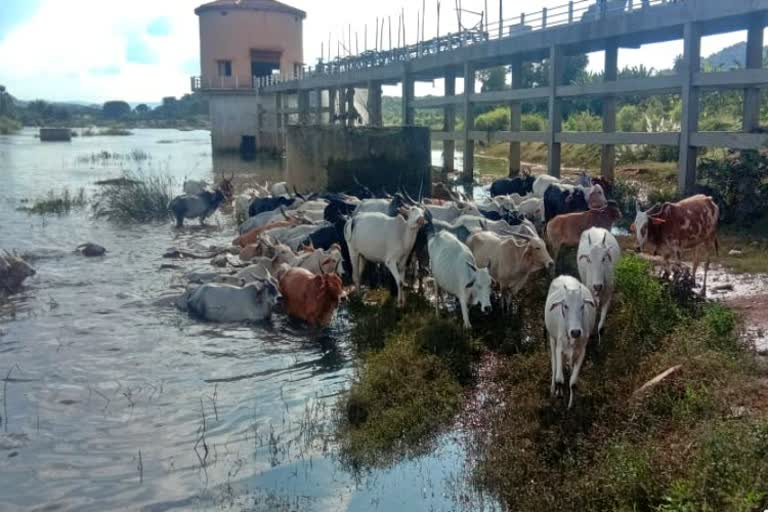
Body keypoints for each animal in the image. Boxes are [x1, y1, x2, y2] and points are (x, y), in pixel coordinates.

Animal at [544, 276, 596, 408]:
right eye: (565, 306)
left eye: (582, 306)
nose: (575, 332)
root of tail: (564, 276)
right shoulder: (559, 348)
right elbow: (559, 379)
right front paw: (559, 394)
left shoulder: (582, 351)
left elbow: (573, 383)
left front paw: (571, 404)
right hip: (552, 339)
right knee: (554, 365)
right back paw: (553, 388)